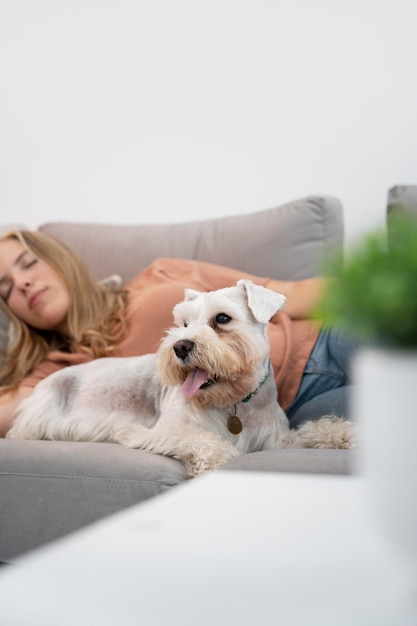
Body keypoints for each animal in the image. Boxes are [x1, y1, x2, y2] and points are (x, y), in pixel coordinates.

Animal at [7, 280, 354, 476]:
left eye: (222, 318)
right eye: (184, 323)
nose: (181, 346)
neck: (232, 402)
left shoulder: (278, 439)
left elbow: (310, 432)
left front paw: (343, 435)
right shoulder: (161, 430)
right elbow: (205, 440)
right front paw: (216, 461)